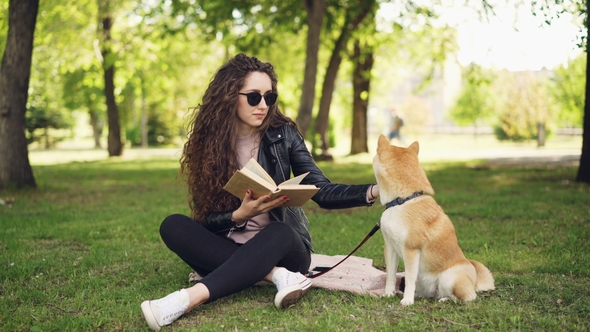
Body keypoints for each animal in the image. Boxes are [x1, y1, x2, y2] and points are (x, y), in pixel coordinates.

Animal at [374, 134, 494, 304]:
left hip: (449, 277)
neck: (402, 201)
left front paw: (407, 301)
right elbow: (390, 276)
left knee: (468, 297)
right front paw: (388, 294)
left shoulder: (411, 250)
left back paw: (446, 300)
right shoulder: (390, 247)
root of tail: (474, 283)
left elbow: (409, 279)